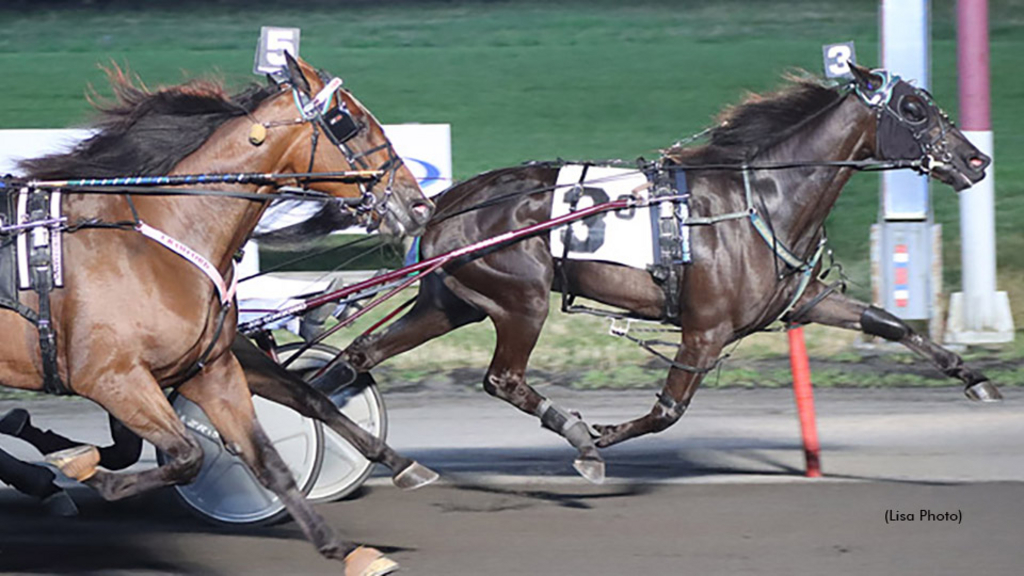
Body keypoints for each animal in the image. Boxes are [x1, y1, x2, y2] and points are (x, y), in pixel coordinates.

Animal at [0, 52, 428, 569]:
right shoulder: (109, 377)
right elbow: (188, 456)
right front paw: (79, 467)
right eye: (352, 122)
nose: (418, 204)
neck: (156, 240)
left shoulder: (210, 368)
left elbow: (273, 452)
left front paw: (347, 547)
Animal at [339, 61, 995, 479]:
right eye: (914, 109)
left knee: (360, 355)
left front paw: (973, 376)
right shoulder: (706, 329)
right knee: (503, 378)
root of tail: (445, 202)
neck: (764, 198)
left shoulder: (802, 301)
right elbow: (666, 412)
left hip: (452, 301)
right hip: (520, 300)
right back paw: (573, 433)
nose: (977, 160)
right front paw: (597, 439)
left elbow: (891, 323)